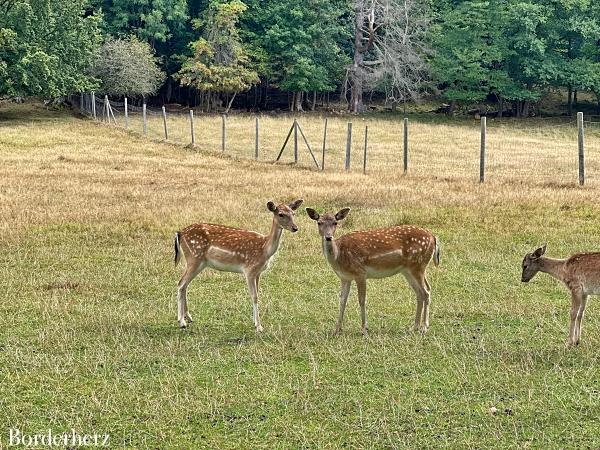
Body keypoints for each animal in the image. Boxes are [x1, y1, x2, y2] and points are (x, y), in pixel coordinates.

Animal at [176, 200, 302, 330]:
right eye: (281, 214)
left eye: (293, 213)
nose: (295, 228)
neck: (264, 249)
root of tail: (180, 233)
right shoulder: (249, 270)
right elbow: (254, 296)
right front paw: (259, 326)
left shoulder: (258, 272)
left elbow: (257, 294)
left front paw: (255, 322)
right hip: (194, 258)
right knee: (181, 283)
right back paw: (181, 322)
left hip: (198, 262)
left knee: (185, 285)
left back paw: (188, 317)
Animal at [304, 207, 440, 334]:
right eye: (319, 222)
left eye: (335, 222)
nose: (328, 237)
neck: (339, 257)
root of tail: (433, 237)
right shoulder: (345, 277)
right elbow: (342, 300)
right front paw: (337, 330)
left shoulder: (360, 273)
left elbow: (362, 300)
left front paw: (364, 329)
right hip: (408, 270)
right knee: (420, 293)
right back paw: (414, 327)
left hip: (418, 265)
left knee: (426, 291)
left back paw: (424, 327)